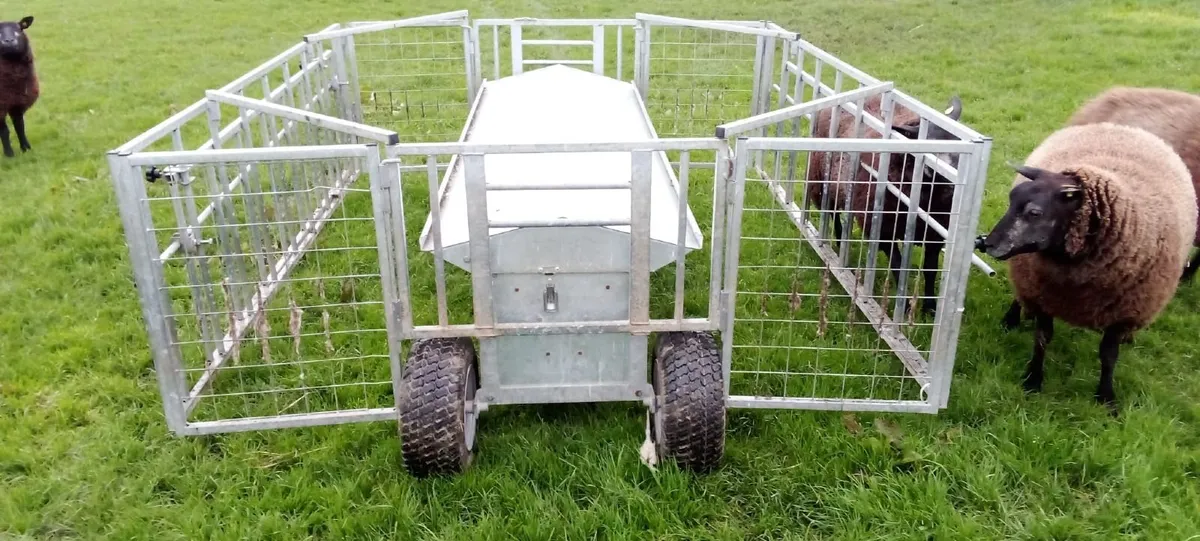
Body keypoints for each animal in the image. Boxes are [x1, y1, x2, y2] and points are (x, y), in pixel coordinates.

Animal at [0, 16, 38, 158]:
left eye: (19, 28)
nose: (9, 41)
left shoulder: (17, 101)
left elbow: (20, 126)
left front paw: (26, 148)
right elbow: (4, 132)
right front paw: (9, 154)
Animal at [804, 94, 963, 316]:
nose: (952, 186)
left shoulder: (935, 234)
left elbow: (930, 269)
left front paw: (930, 306)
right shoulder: (883, 230)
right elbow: (897, 266)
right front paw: (905, 307)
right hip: (821, 183)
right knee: (833, 214)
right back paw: (838, 244)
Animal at [978, 122, 1197, 414]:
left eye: (1035, 213)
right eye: (1011, 200)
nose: (987, 244)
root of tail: (1122, 126)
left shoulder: (1124, 311)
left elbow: (1109, 355)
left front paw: (1106, 398)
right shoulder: (1043, 294)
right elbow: (1042, 338)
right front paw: (1033, 380)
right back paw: (1012, 319)